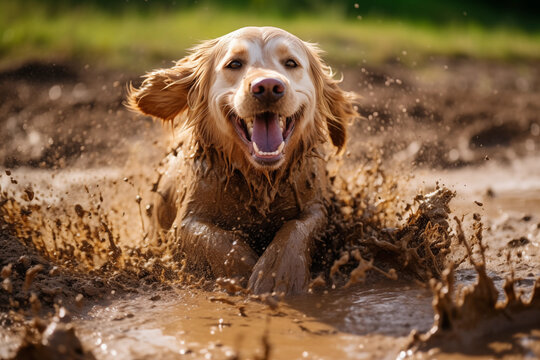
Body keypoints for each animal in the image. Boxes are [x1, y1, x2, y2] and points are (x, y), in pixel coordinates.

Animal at [126, 26, 354, 294]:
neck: (260, 180)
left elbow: (297, 228)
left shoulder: (318, 207)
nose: (268, 86)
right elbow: (215, 238)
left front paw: (277, 275)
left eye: (291, 63)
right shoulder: (185, 221)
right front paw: (243, 273)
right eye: (234, 63)